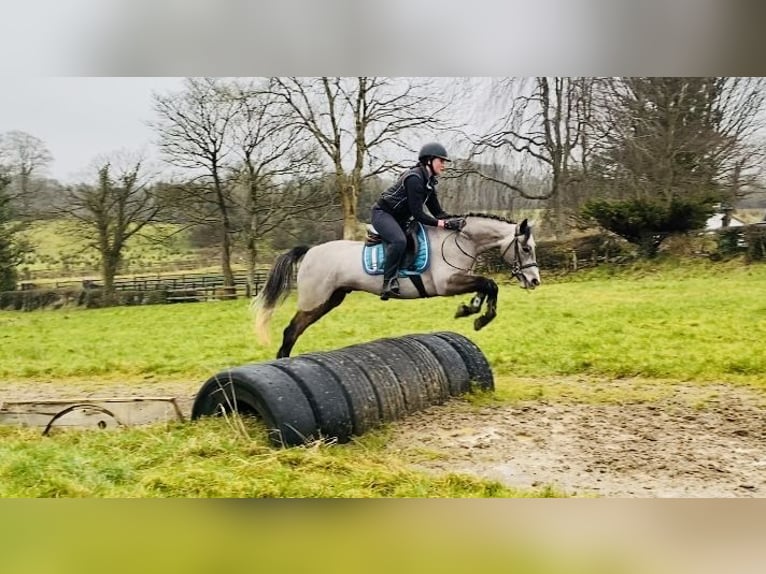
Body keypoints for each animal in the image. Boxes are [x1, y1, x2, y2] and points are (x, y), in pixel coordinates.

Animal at [252, 215, 540, 360]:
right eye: (526, 248)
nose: (535, 281)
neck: (460, 240)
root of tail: (310, 251)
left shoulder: (461, 278)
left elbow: (486, 286)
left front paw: (472, 310)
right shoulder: (447, 283)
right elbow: (490, 284)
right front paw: (479, 316)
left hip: (331, 299)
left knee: (296, 329)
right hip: (316, 300)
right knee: (291, 330)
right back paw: (282, 360)